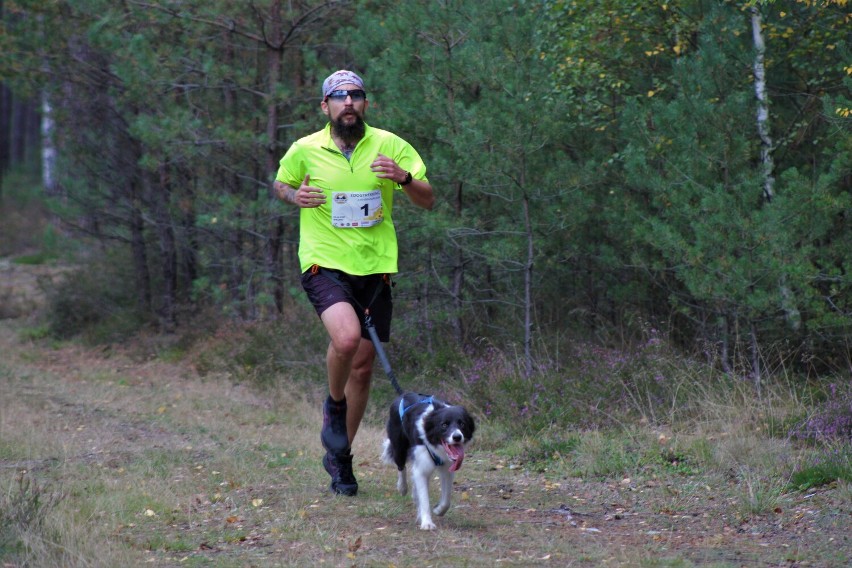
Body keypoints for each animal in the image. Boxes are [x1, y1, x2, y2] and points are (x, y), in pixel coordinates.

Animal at [382, 392, 476, 532]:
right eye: (444, 425)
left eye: (462, 424)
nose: (457, 437)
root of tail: (403, 394)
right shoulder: (422, 468)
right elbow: (424, 497)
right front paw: (427, 522)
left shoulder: (447, 469)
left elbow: (446, 499)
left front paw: (438, 510)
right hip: (399, 447)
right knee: (401, 467)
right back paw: (402, 487)